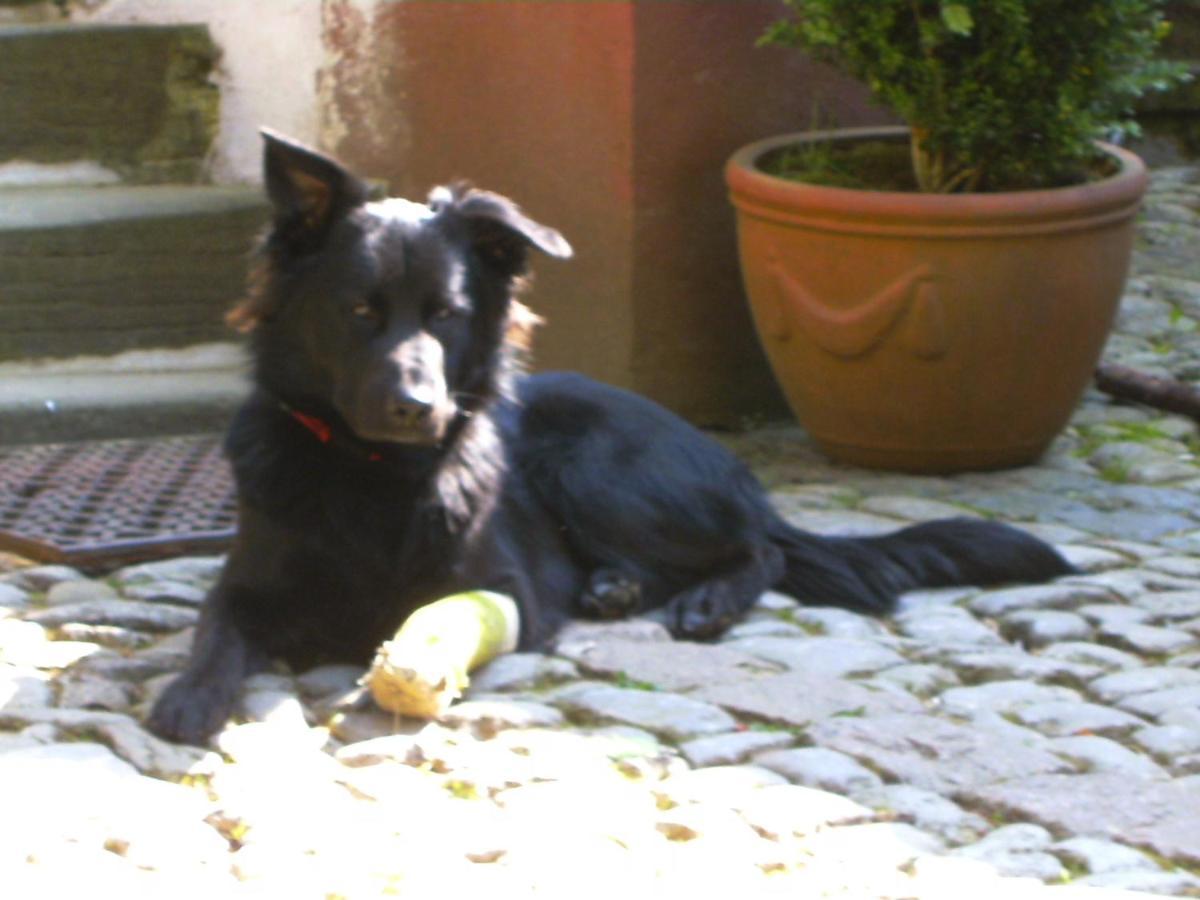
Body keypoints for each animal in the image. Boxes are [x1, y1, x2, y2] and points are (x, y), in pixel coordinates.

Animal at [145, 130, 1075, 744]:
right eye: (361, 311)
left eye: (446, 315)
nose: (417, 405)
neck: (374, 470)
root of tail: (731, 468)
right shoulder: (247, 583)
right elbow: (216, 630)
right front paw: (192, 695)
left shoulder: (503, 589)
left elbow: (438, 613)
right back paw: (616, 589)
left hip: (594, 464)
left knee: (759, 551)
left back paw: (701, 599)